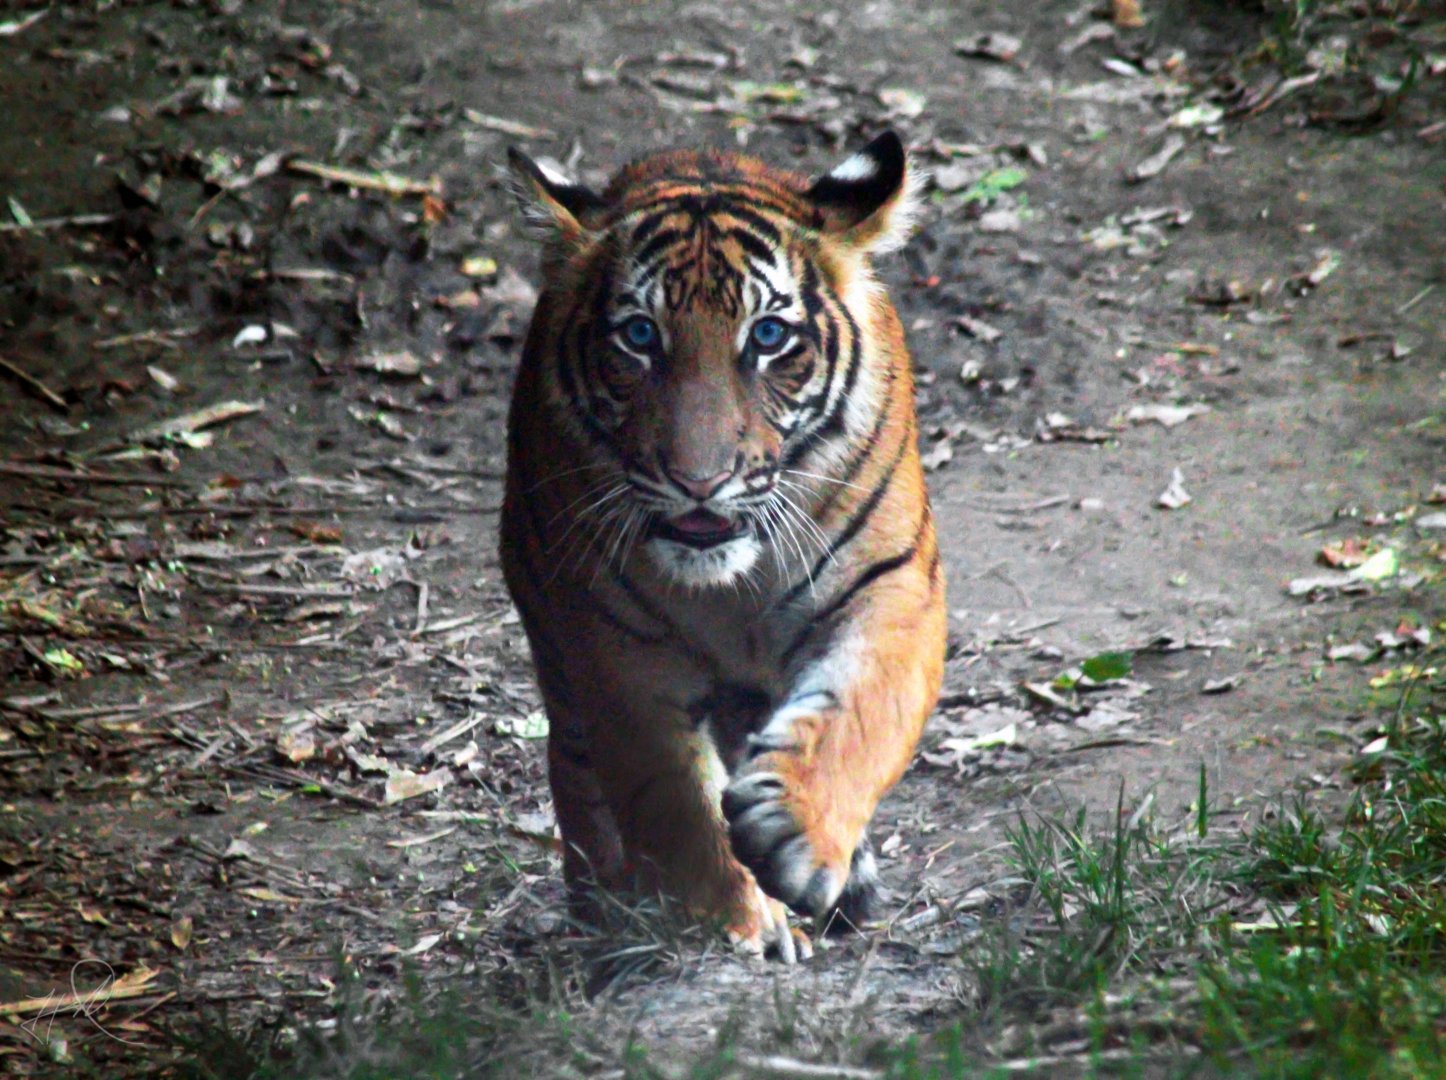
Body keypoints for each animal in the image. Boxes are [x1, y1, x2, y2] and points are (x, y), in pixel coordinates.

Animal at [499, 130, 946, 962]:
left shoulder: (891, 588)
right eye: (639, 336)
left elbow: (861, 713)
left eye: (767, 336)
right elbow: (674, 800)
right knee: (579, 781)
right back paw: (606, 912)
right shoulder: (614, 653)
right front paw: (747, 925)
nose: (699, 481)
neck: (730, 587)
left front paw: (793, 833)